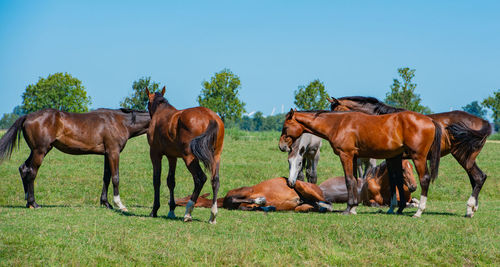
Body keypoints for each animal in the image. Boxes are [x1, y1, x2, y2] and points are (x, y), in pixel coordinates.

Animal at [0, 107, 150, 211]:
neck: (119, 121)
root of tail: (27, 116)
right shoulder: (114, 152)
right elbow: (115, 178)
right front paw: (119, 204)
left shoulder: (107, 154)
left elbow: (106, 178)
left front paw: (106, 203)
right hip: (40, 151)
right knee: (31, 172)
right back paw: (34, 203)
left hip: (36, 151)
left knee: (23, 169)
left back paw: (28, 202)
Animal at [146, 87, 225, 224]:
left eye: (147, 103)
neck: (161, 112)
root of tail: (210, 117)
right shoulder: (172, 157)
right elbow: (171, 181)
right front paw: (171, 210)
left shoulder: (155, 154)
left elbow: (156, 180)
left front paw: (154, 210)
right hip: (216, 156)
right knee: (215, 180)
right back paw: (213, 215)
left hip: (189, 158)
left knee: (200, 179)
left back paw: (188, 211)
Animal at [328, 96, 492, 218]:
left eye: (336, 110)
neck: (382, 120)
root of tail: (483, 122)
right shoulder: (395, 159)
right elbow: (398, 181)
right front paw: (397, 208)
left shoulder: (392, 158)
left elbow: (395, 181)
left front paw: (395, 207)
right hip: (468, 159)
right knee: (477, 178)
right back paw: (471, 210)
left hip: (462, 157)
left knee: (478, 177)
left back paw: (467, 207)